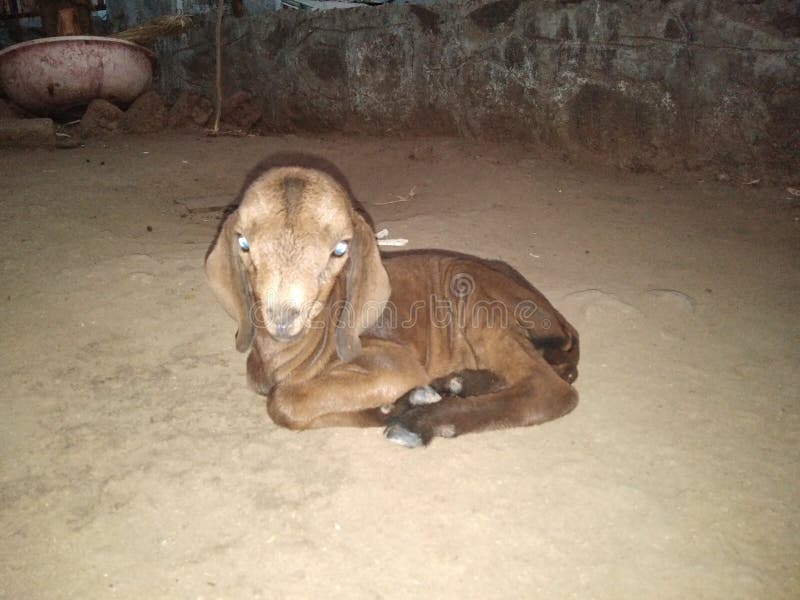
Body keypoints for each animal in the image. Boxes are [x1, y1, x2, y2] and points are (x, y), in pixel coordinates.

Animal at [206, 163, 579, 447]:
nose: (283, 317)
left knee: (549, 389)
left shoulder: (393, 361)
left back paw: (422, 422)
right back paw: (454, 385)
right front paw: (397, 405)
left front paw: (403, 407)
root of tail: (557, 318)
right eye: (243, 243)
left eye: (340, 249)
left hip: (471, 289)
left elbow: (284, 403)